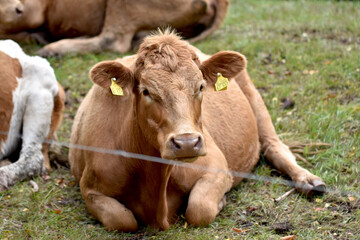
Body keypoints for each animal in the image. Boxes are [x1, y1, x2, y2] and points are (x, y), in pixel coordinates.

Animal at [69, 31, 324, 232]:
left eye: (201, 87)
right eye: (146, 91)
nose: (187, 142)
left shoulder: (217, 166)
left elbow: (199, 209)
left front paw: (220, 202)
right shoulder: (90, 188)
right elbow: (122, 220)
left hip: (254, 98)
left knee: (274, 146)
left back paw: (308, 180)